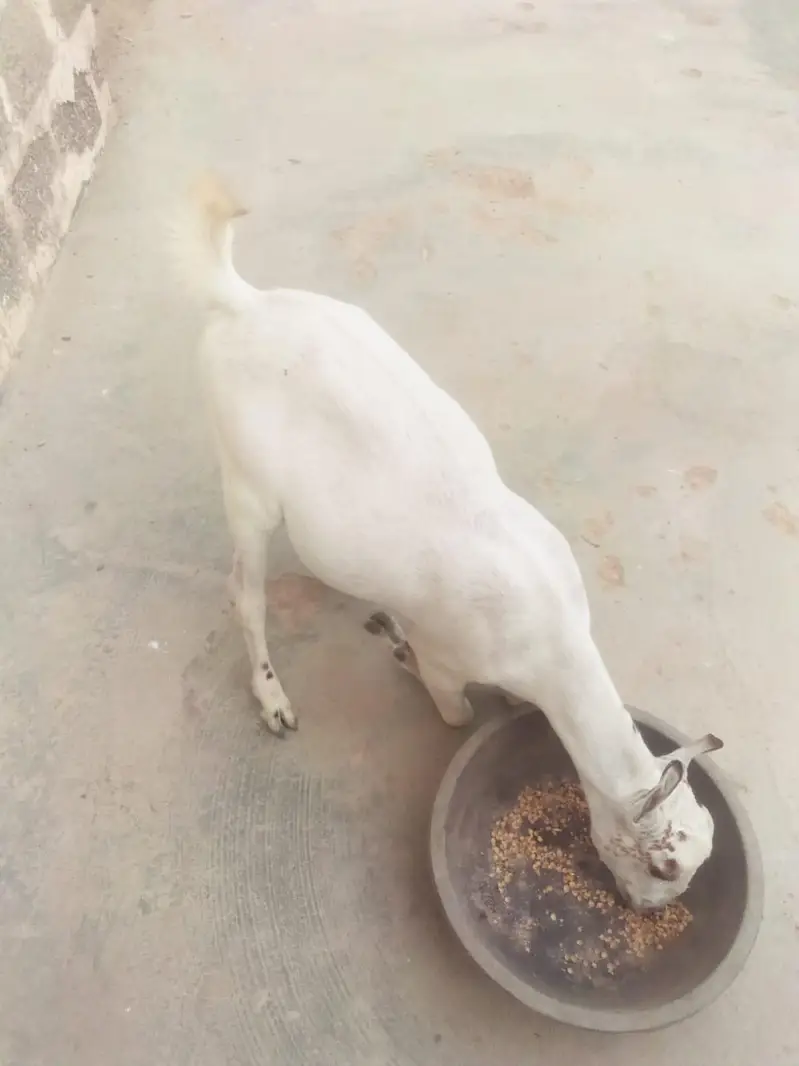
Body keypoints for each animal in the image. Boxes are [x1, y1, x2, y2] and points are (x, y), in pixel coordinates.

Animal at [174, 174, 723, 910]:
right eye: (664, 867)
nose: (643, 908)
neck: (552, 639)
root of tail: (243, 301)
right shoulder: (448, 657)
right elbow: (455, 713)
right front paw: (394, 647)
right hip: (245, 480)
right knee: (246, 593)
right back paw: (273, 699)